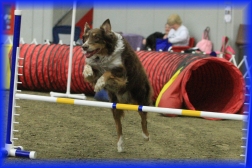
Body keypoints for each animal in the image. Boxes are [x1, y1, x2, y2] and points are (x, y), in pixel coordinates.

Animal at [82, 18, 152, 152]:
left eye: (96, 37)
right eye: (86, 37)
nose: (84, 47)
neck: (105, 54)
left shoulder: (122, 73)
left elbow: (108, 72)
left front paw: (99, 84)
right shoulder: (96, 70)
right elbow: (88, 66)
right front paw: (87, 72)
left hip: (141, 98)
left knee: (143, 118)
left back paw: (146, 136)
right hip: (114, 105)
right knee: (119, 126)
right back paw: (120, 145)